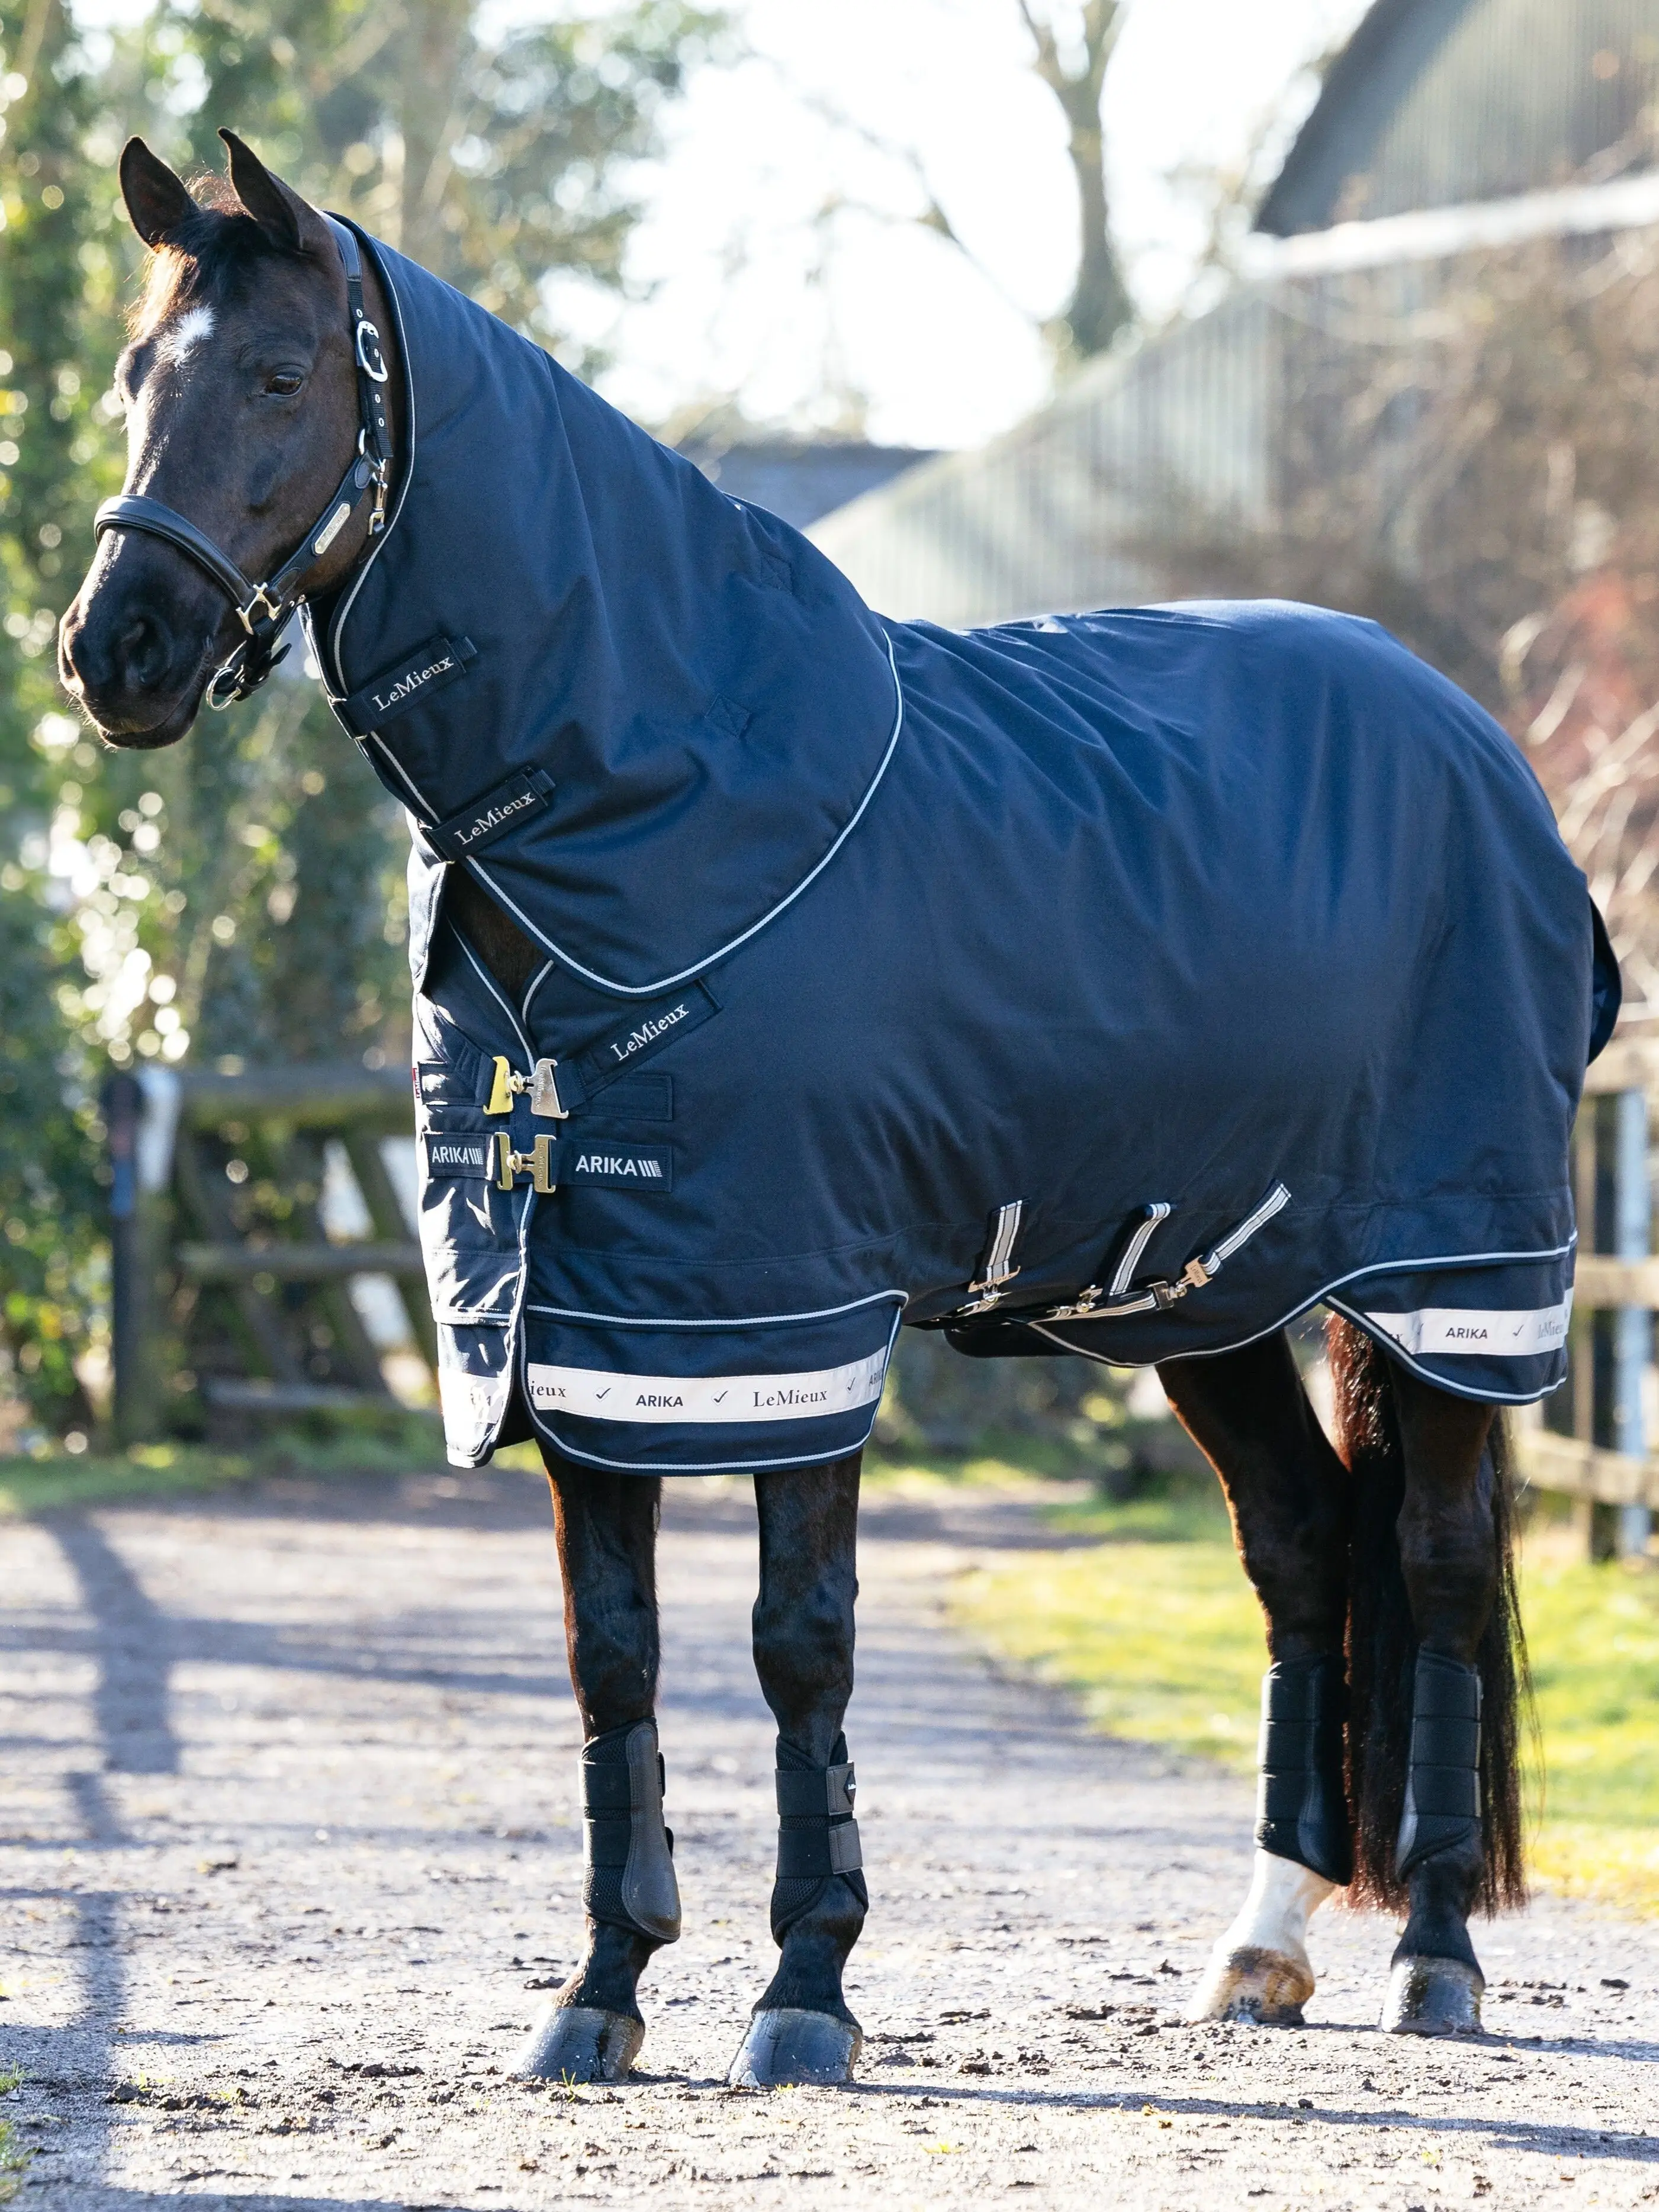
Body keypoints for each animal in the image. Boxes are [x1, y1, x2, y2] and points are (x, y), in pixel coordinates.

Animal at [59, 132, 1613, 2084]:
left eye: (277, 376)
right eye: (133, 378)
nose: (113, 651)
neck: (667, 805)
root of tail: (1477, 746)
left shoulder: (784, 1311)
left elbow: (799, 1645)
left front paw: (803, 1986)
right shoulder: (589, 1323)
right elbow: (613, 1653)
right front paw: (602, 1988)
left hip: (1451, 1286)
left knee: (1439, 1560)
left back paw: (1432, 1956)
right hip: (1202, 1297)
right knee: (1303, 1548)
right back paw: (1258, 1947)